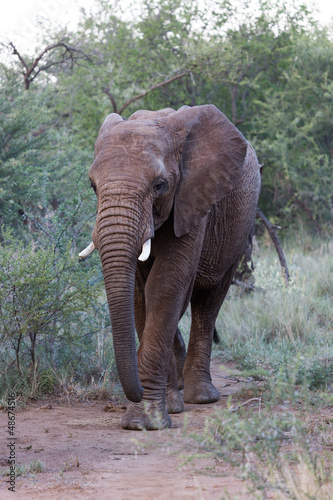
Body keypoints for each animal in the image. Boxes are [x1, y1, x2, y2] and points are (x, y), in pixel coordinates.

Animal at [80, 104, 260, 430]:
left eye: (159, 185)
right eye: (92, 185)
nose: (136, 392)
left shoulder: (193, 198)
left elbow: (165, 286)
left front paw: (146, 422)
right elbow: (141, 295)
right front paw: (158, 411)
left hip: (239, 230)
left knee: (208, 302)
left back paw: (200, 397)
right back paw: (178, 394)